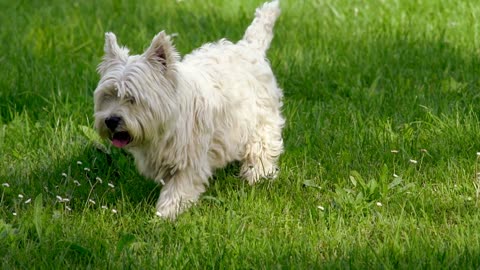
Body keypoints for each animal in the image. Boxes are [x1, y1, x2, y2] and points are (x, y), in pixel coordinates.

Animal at [92, 0, 284, 219]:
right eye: (108, 95)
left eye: (132, 98)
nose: (111, 121)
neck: (167, 125)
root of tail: (249, 47)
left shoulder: (189, 159)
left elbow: (178, 189)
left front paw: (165, 215)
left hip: (261, 120)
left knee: (261, 147)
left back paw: (257, 175)